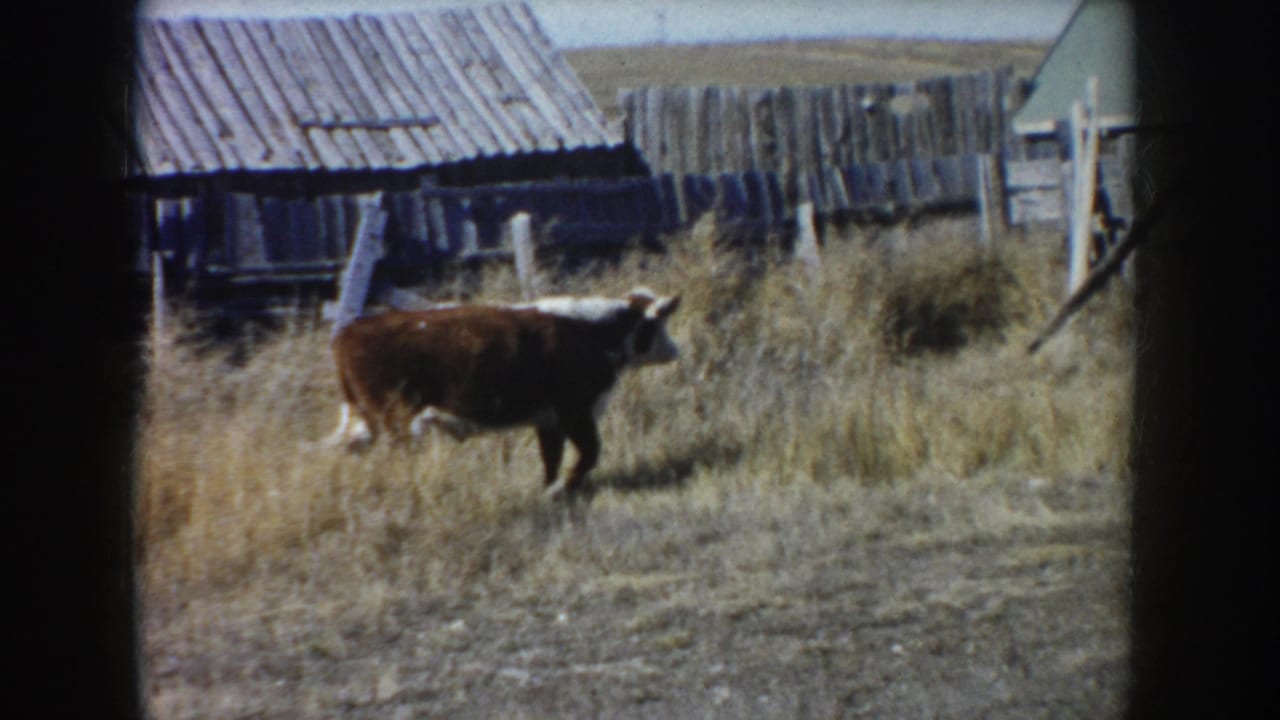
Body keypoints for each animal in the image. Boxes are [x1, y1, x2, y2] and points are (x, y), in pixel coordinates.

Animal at [321, 288, 682, 496]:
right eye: (657, 323)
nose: (675, 350)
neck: (594, 329)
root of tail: (350, 331)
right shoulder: (575, 411)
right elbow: (590, 453)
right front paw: (564, 487)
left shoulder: (549, 418)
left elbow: (552, 458)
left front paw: (549, 490)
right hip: (394, 421)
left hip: (365, 421)